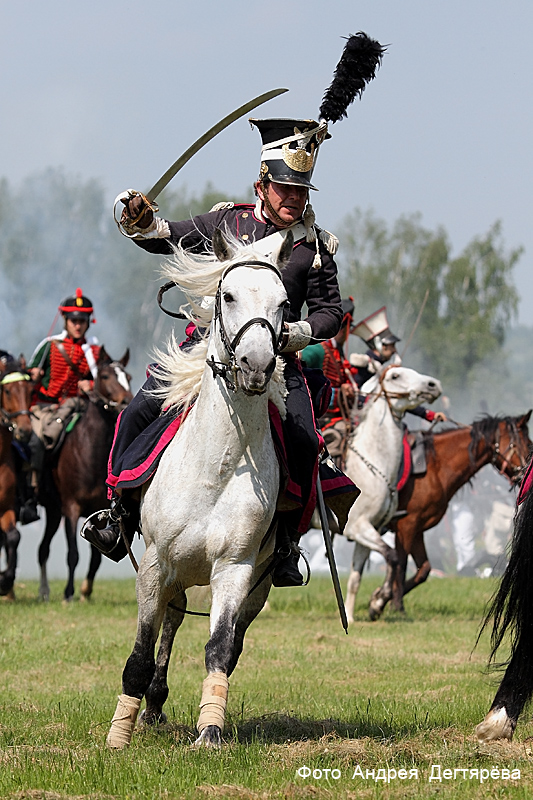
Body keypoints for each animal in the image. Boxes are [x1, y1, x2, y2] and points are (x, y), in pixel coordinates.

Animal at [37, 346, 132, 604]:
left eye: (128, 377)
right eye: (106, 376)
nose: (125, 402)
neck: (90, 451)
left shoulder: (98, 510)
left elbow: (97, 555)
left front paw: (85, 591)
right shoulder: (71, 509)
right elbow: (73, 553)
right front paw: (68, 593)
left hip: (53, 511)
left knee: (43, 550)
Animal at [106, 227, 294, 752]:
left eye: (284, 303)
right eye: (227, 296)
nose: (257, 364)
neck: (216, 465)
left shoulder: (236, 569)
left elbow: (219, 648)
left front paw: (210, 731)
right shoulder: (154, 564)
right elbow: (140, 652)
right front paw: (118, 737)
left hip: (252, 585)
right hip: (172, 571)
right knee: (169, 620)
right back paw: (149, 708)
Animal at [340, 368, 440, 624]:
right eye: (395, 376)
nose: (434, 385)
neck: (372, 461)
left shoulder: (366, 531)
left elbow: (356, 578)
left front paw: (351, 616)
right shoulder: (358, 527)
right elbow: (393, 557)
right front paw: (378, 600)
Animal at [368, 412, 528, 620]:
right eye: (524, 443)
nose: (525, 474)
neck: (435, 467)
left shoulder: (417, 529)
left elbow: (423, 570)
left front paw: (380, 597)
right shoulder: (406, 526)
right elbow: (401, 565)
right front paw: (396, 606)